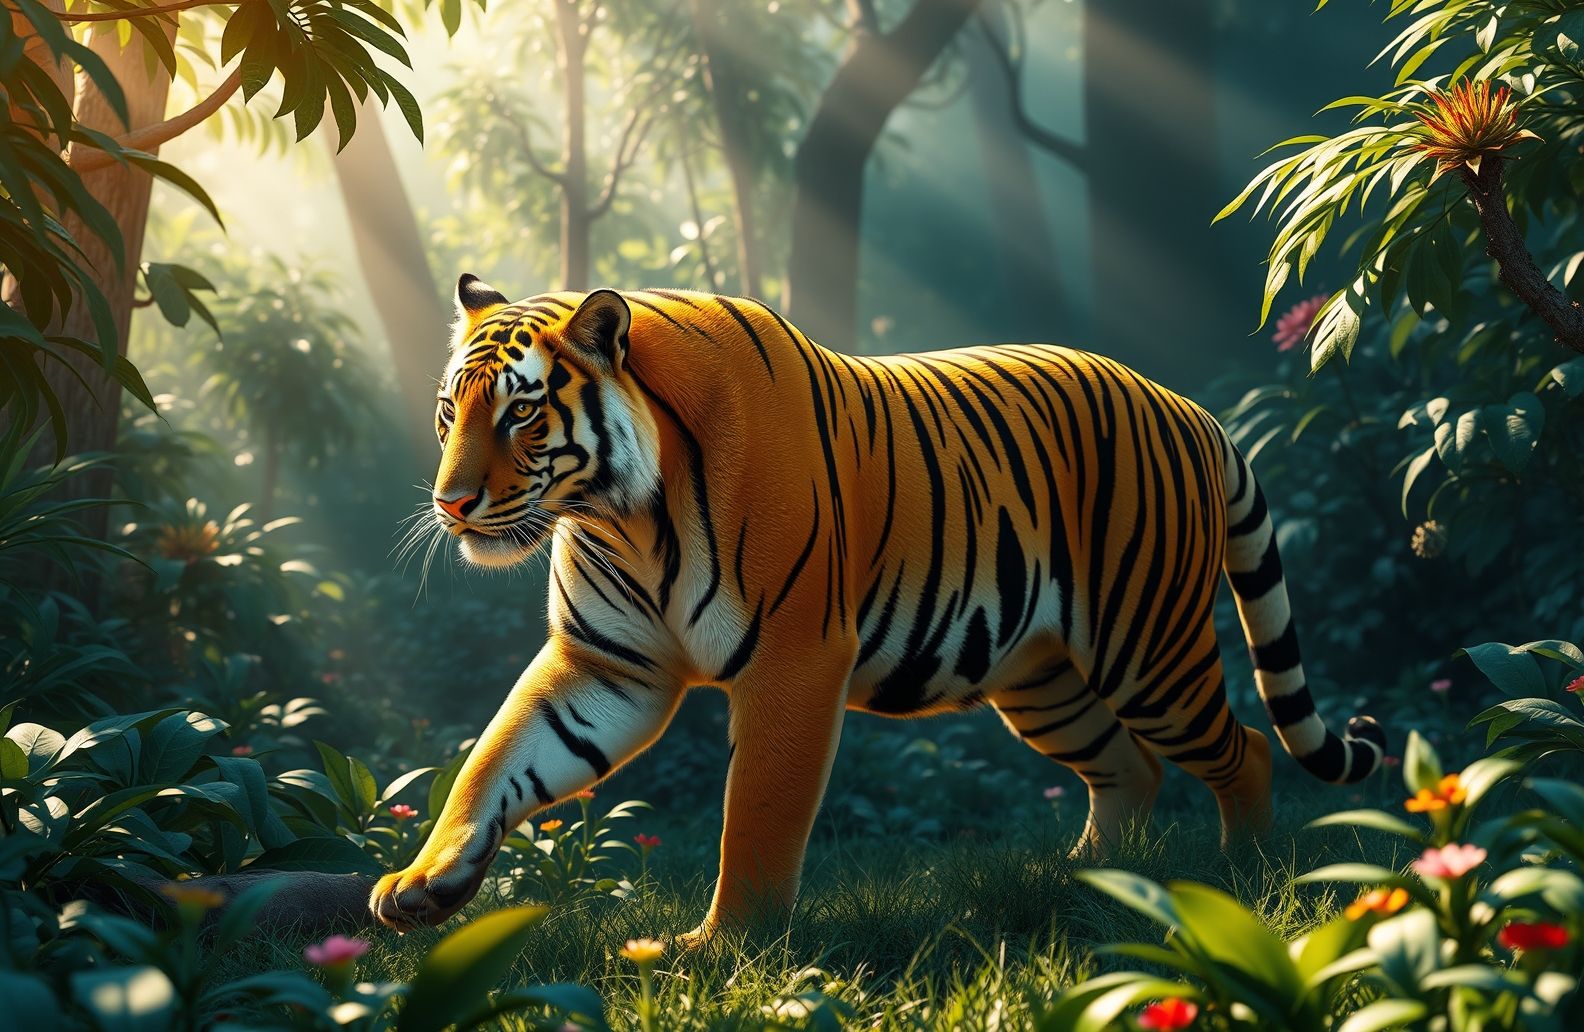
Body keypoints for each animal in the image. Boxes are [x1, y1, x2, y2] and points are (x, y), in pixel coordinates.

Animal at [369, 275, 1388, 944]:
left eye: (522, 413)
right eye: (450, 412)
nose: (450, 504)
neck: (624, 516)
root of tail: (1190, 409)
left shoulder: (794, 660)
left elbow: (759, 811)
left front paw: (725, 947)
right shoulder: (605, 666)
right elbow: (497, 759)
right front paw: (424, 884)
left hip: (1148, 649)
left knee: (1244, 747)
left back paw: (1242, 874)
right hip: (1042, 679)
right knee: (1129, 768)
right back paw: (1093, 878)